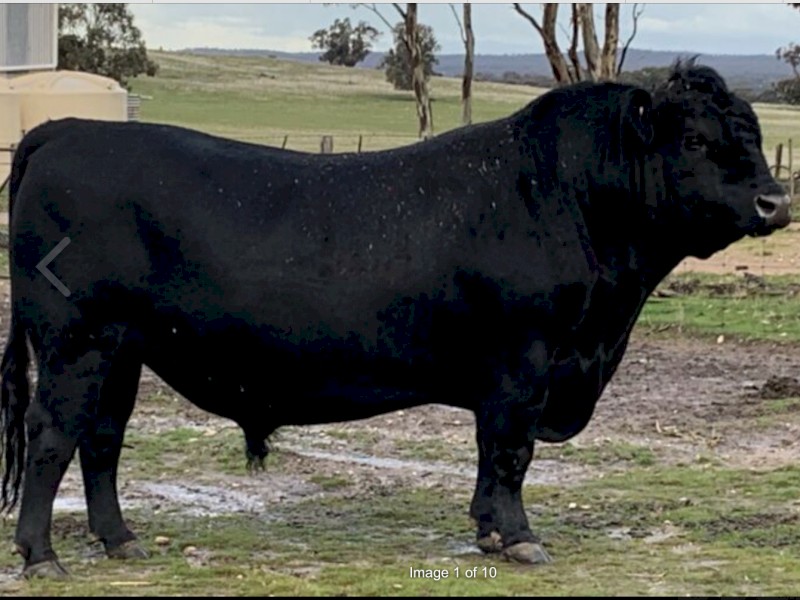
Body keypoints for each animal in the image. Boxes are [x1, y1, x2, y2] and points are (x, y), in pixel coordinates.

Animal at [0, 59, 791, 579]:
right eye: (695, 140)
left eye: (752, 134)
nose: (774, 202)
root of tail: (67, 130)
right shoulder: (525, 362)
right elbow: (511, 455)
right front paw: (519, 537)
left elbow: (489, 456)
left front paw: (488, 532)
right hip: (76, 342)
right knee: (52, 437)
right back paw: (41, 556)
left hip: (122, 349)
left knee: (102, 439)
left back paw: (119, 539)